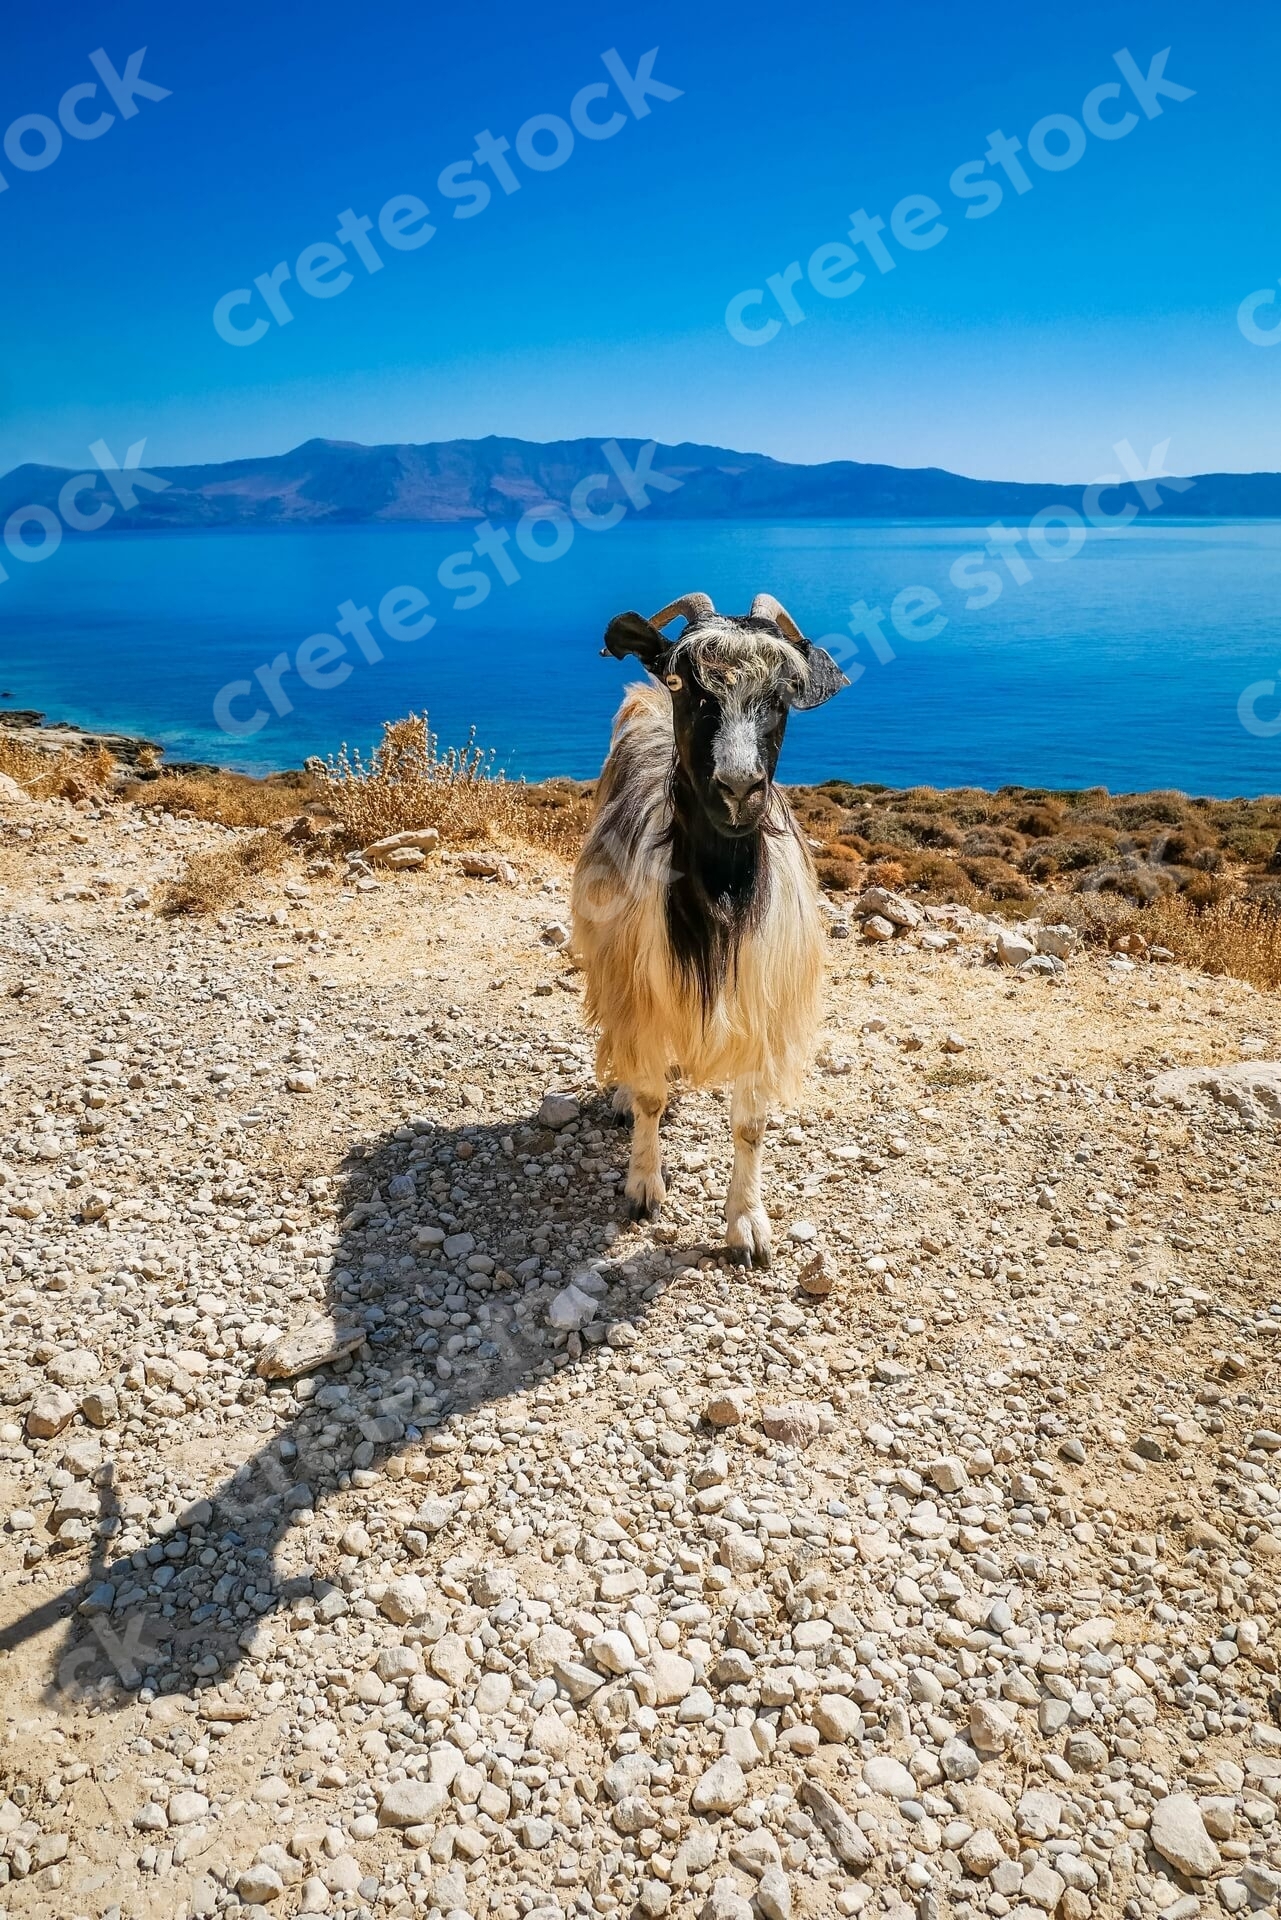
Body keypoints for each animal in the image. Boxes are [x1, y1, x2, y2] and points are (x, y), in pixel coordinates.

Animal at [572, 591, 852, 1267]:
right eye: (684, 682)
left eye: (784, 693)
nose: (738, 788)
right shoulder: (641, 988)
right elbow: (650, 1096)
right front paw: (644, 1186)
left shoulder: (763, 1008)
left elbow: (750, 1124)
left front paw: (747, 1225)